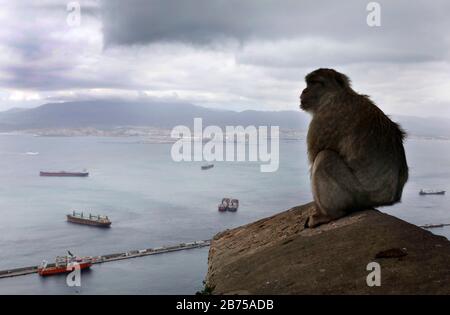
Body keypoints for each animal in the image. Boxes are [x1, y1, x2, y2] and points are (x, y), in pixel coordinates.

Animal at [298, 69, 408, 228]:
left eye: (314, 83)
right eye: (308, 83)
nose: (304, 91)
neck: (336, 94)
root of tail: (388, 198)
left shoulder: (323, 117)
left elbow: (314, 158)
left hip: (358, 194)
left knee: (324, 157)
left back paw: (329, 214)